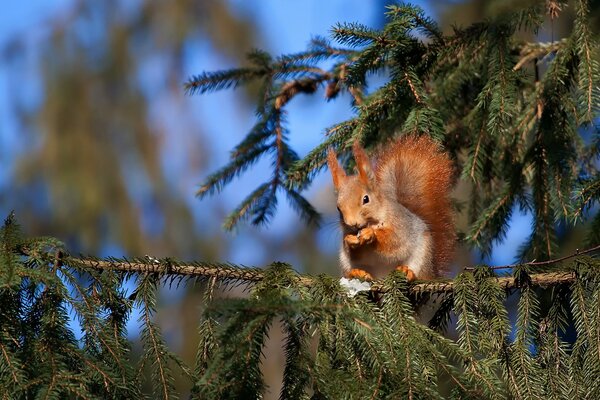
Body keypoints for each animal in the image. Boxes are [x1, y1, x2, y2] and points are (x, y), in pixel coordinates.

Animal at [328, 134, 454, 282]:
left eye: (366, 199)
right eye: (338, 208)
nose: (352, 223)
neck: (372, 222)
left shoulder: (400, 224)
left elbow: (393, 241)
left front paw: (371, 235)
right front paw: (350, 240)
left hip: (422, 256)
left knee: (419, 274)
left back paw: (408, 272)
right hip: (346, 263)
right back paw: (356, 273)